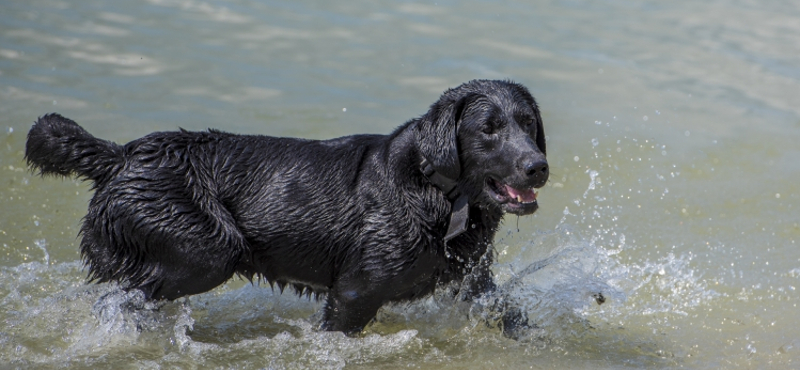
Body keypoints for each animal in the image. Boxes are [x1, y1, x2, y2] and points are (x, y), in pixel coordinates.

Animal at [26, 79, 552, 336]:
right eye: (489, 129)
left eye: (529, 123)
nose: (538, 166)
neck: (434, 191)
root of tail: (121, 155)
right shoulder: (353, 293)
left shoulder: (474, 281)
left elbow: (509, 314)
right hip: (206, 250)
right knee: (120, 298)